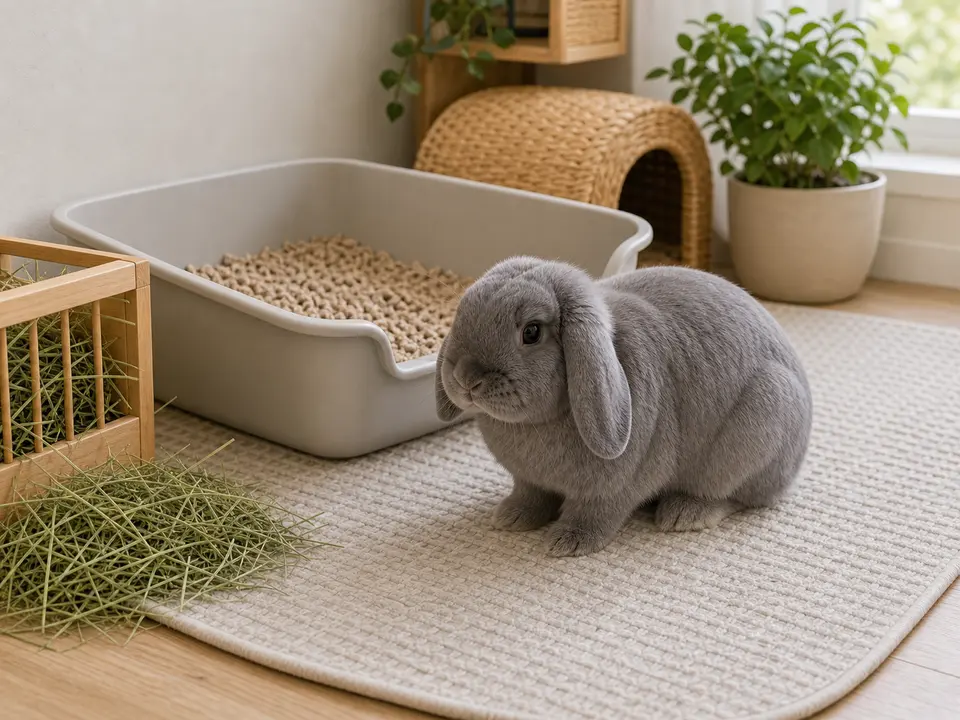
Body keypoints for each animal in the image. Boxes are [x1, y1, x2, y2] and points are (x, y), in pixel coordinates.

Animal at [435, 256, 813, 557]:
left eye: (531, 332)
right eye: (462, 312)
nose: (466, 379)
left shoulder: (615, 488)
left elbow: (597, 513)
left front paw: (569, 542)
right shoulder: (528, 481)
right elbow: (530, 496)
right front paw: (511, 517)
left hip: (765, 415)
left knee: (735, 495)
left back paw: (683, 515)